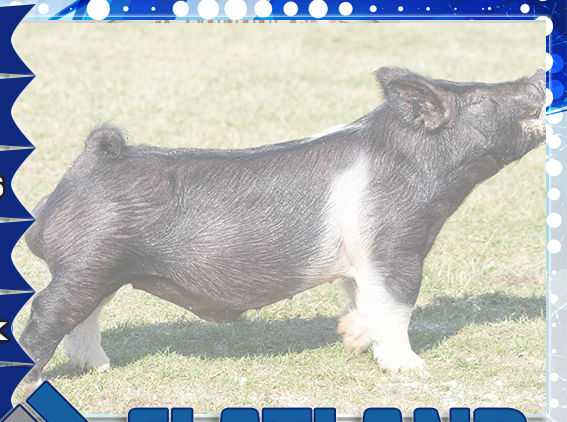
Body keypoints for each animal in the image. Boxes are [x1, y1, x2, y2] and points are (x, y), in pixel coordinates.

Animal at [20, 67, 548, 390]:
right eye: (482, 98)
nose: (538, 77)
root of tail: (90, 161)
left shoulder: (361, 261)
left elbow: (361, 300)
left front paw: (350, 338)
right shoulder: (396, 245)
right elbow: (398, 304)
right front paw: (412, 369)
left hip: (101, 267)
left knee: (85, 315)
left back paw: (100, 369)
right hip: (90, 259)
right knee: (48, 311)